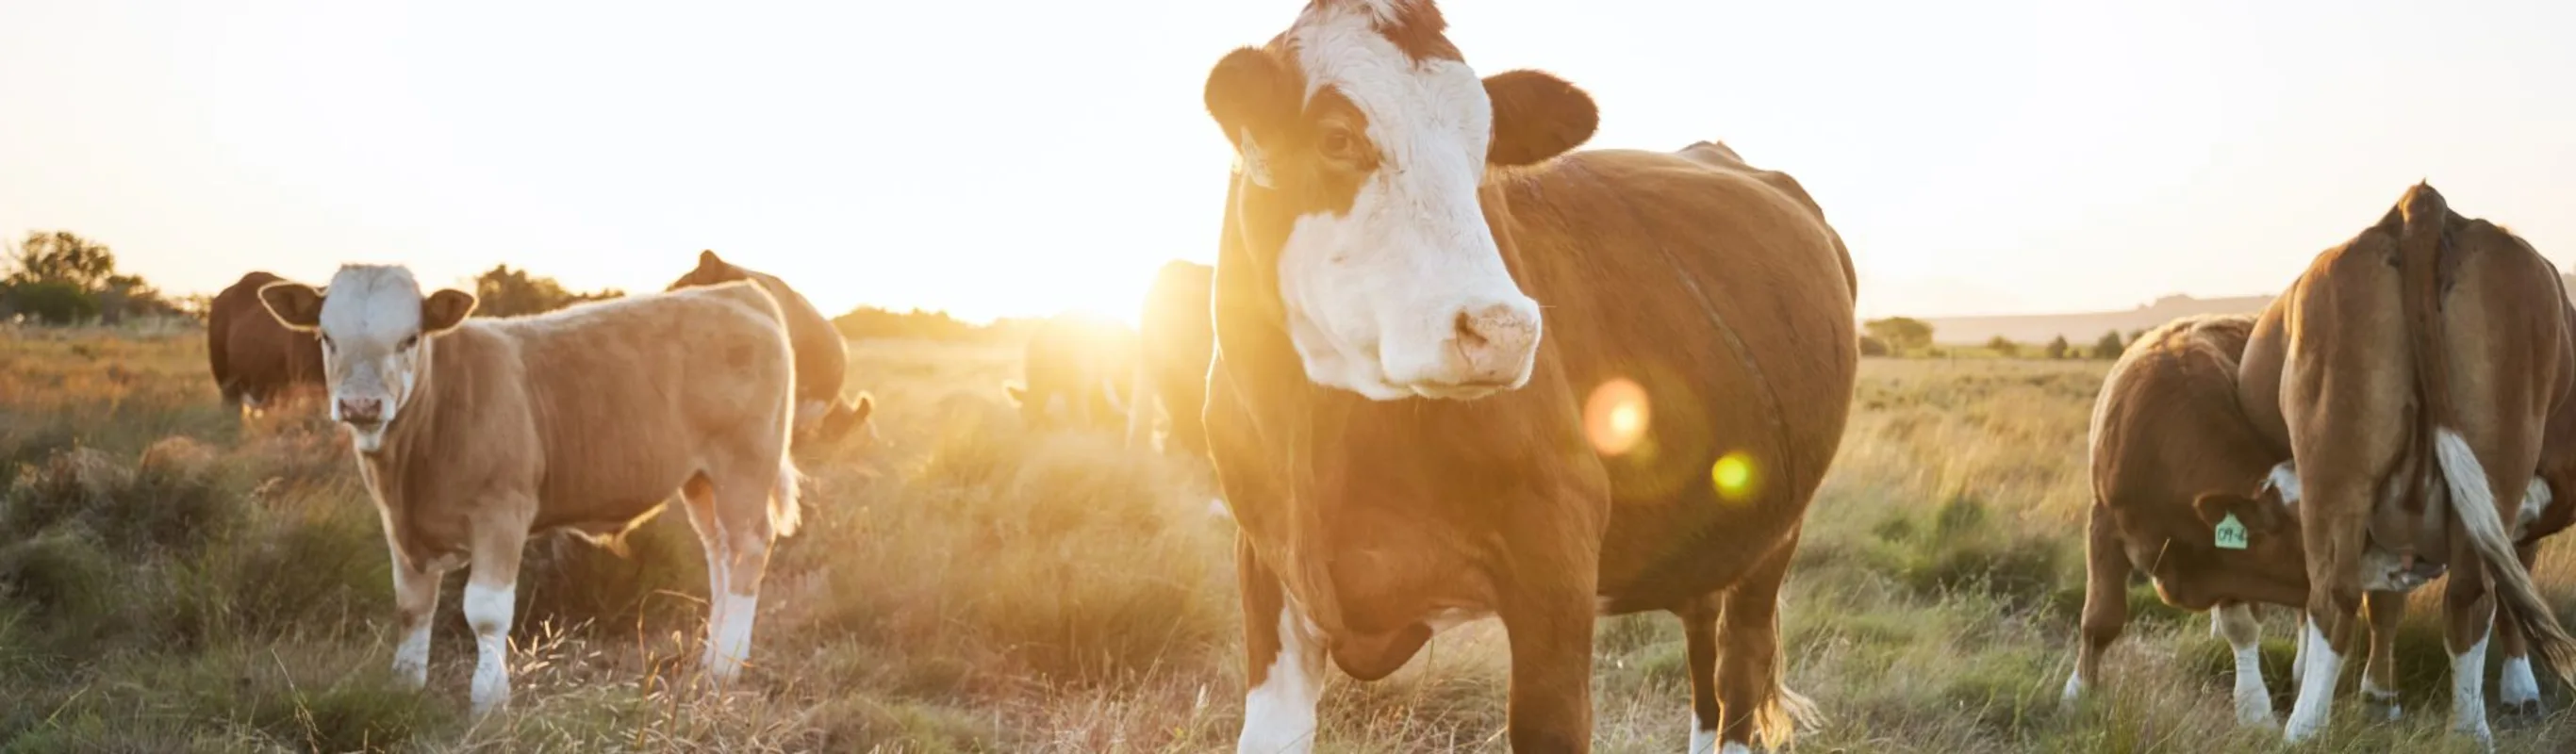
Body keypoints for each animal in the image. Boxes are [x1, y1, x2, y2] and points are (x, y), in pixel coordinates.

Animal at [257, 264, 804, 716]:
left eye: (409, 339)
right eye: (327, 337)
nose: (361, 404)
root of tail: (737, 292)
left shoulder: (502, 512)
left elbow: (485, 612)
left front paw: (488, 698)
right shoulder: (398, 524)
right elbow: (411, 607)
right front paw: (405, 686)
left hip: (743, 466)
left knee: (748, 548)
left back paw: (726, 666)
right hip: (701, 479)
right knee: (719, 552)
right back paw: (712, 654)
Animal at [1006, 312, 1135, 432]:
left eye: (1024, 411)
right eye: (1020, 412)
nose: (1026, 430)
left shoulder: (1080, 377)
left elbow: (1079, 404)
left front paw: (1083, 428)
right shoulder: (1068, 385)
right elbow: (1072, 406)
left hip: (1121, 367)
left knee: (1125, 387)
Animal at [1196, 3, 1858, 752]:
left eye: (1484, 148)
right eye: (1336, 138)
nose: (1504, 329)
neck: (1319, 447)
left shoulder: (1556, 560)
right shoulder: (1266, 563)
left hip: (1773, 537)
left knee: (1737, 674)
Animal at [2233, 183, 2576, 745]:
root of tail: (2424, 202)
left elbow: (2388, 602)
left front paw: (2379, 696)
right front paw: (2520, 691)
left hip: (2345, 478)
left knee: (2354, 595)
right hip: (2482, 474)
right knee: (2461, 598)